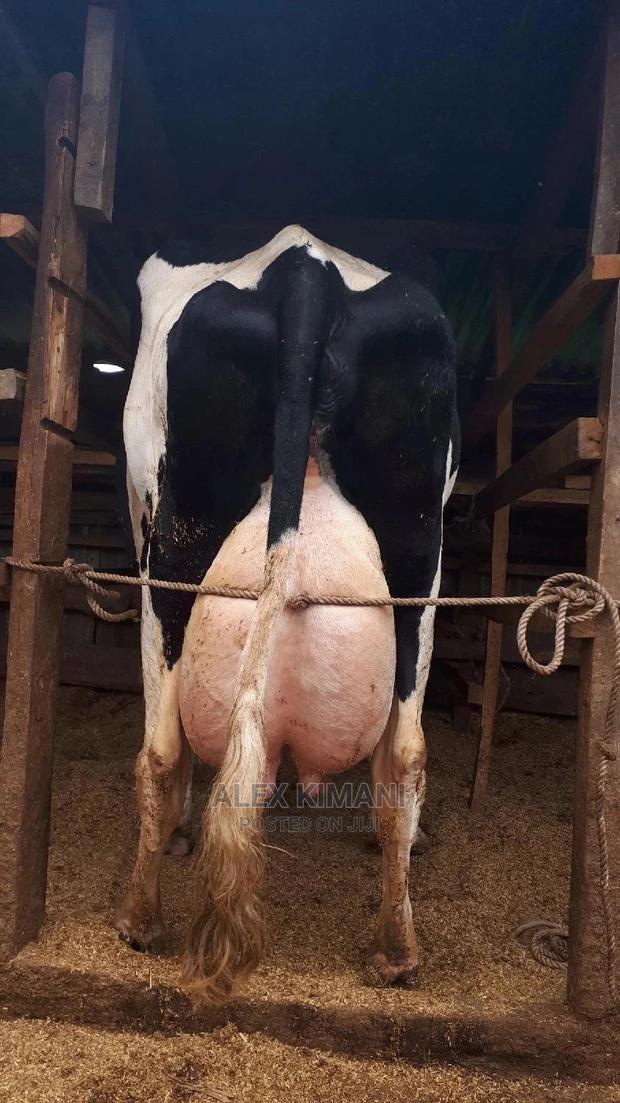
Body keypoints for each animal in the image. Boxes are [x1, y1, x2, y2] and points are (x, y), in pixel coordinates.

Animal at [116, 224, 459, 1004]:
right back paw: (397, 953)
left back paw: (138, 919)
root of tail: (304, 268)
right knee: (403, 756)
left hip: (173, 541)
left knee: (160, 748)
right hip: (418, 548)